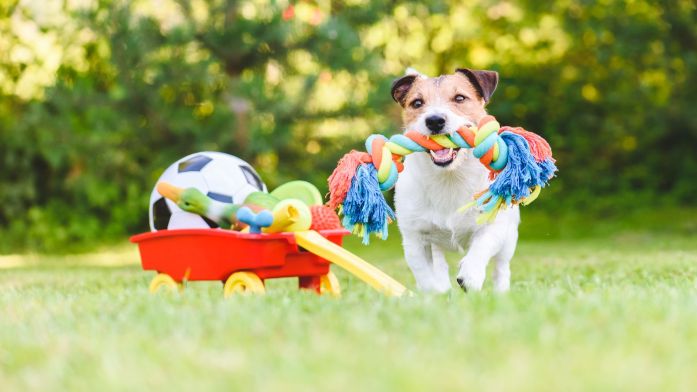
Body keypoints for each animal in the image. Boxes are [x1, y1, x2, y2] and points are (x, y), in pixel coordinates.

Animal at [388, 69, 520, 292]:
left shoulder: (494, 225)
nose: (434, 120)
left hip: (509, 238)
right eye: (417, 103)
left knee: (501, 267)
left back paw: (501, 291)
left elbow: (481, 245)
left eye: (459, 98)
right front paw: (434, 294)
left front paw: (470, 275)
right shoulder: (415, 239)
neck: (450, 177)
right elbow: (425, 275)